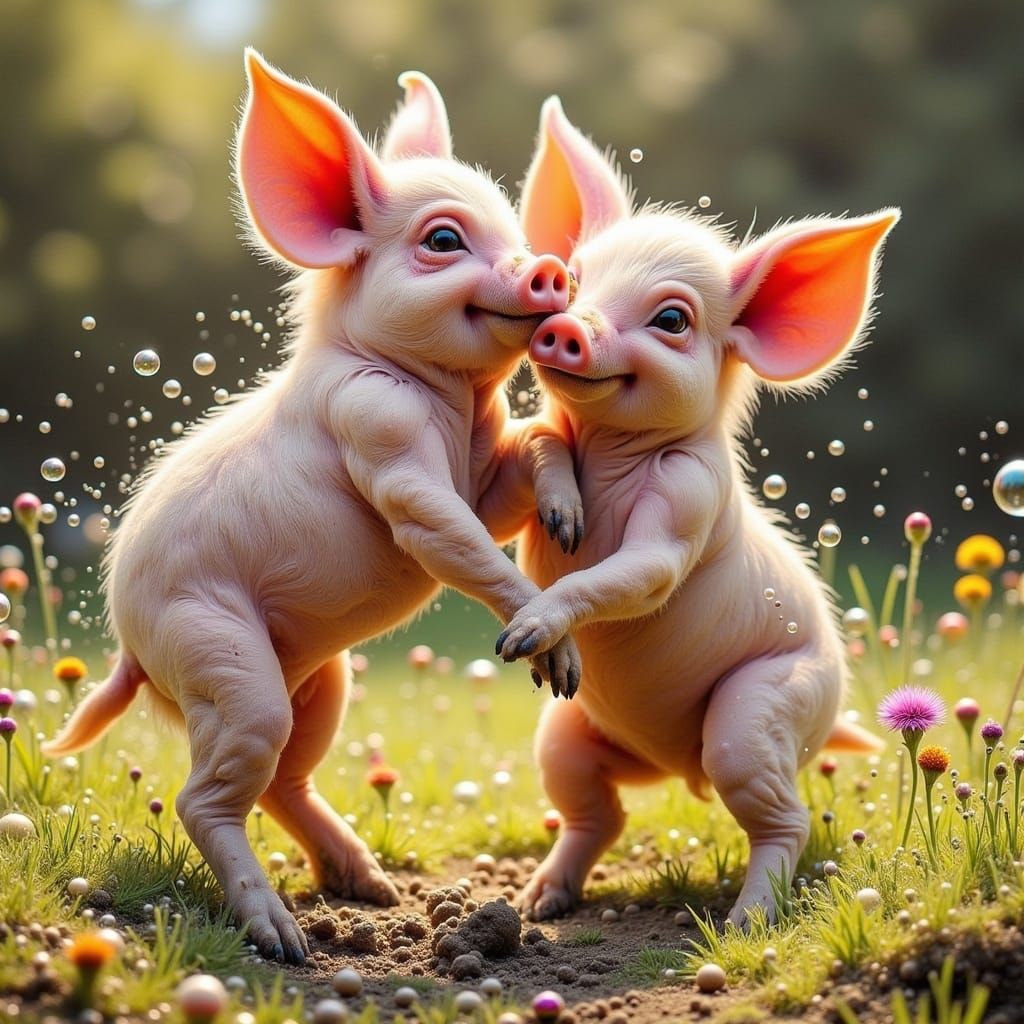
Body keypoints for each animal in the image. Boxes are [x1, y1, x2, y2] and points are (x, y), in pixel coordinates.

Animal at [42, 53, 584, 964]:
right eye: (443, 240)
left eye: (513, 226)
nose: (550, 266)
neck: (450, 401)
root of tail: (129, 650)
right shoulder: (382, 437)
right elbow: (442, 530)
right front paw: (551, 664)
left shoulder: (485, 472)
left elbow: (530, 456)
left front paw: (567, 522)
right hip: (220, 655)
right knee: (202, 798)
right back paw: (285, 941)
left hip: (318, 679)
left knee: (284, 780)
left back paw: (373, 889)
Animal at [495, 97, 897, 926]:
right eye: (571, 280)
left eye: (673, 321)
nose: (566, 324)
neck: (610, 453)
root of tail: (676, 769)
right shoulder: (548, 441)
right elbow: (542, 444)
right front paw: (563, 522)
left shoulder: (689, 497)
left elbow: (645, 570)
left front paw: (521, 637)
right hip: (568, 733)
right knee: (598, 811)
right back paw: (538, 905)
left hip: (765, 710)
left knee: (783, 816)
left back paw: (746, 921)